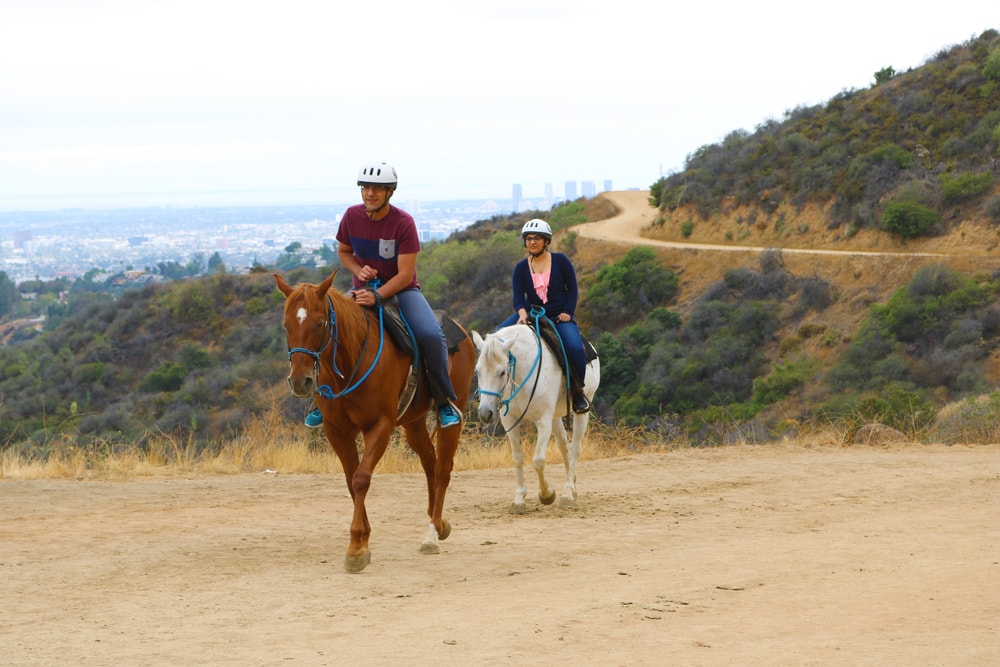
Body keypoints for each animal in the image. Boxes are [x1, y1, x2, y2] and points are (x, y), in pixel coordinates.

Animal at [274, 270, 476, 573]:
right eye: (287, 325)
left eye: (320, 323)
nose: (300, 381)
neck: (349, 362)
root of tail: (461, 332)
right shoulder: (337, 430)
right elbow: (351, 480)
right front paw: (363, 539)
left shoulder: (379, 426)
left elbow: (361, 478)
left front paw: (357, 547)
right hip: (413, 422)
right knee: (429, 461)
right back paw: (438, 522)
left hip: (454, 409)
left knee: (443, 468)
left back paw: (431, 533)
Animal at [472, 323, 600, 514]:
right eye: (478, 371)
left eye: (502, 372)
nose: (485, 413)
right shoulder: (509, 420)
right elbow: (518, 458)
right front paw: (519, 499)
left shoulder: (543, 420)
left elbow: (538, 460)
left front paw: (547, 494)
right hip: (555, 417)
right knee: (564, 446)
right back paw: (573, 488)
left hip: (581, 411)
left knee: (575, 448)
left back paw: (568, 494)